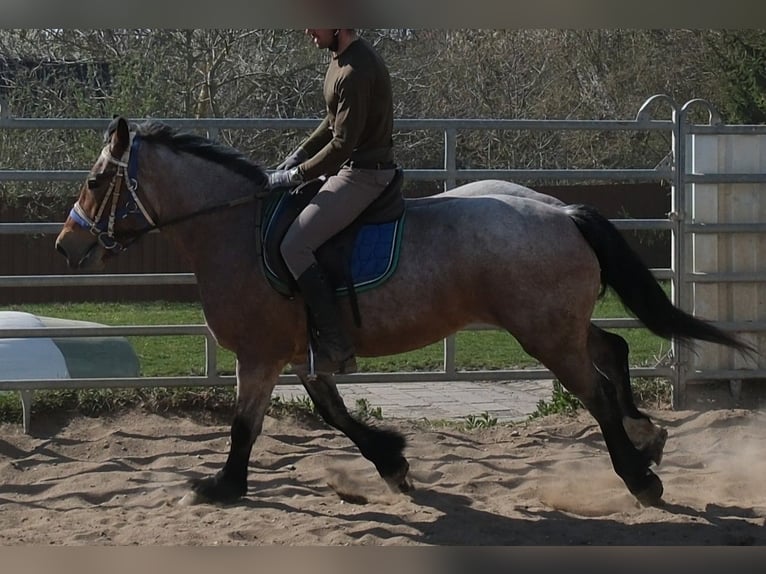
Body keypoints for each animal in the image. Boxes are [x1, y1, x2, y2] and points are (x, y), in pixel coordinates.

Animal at [54, 116, 752, 508]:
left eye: (94, 181)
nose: (66, 246)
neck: (233, 230)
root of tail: (560, 211)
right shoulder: (301, 353)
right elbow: (334, 413)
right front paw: (392, 463)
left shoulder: (259, 356)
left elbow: (244, 427)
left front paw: (222, 487)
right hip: (556, 324)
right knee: (613, 349)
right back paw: (648, 439)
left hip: (545, 335)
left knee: (597, 393)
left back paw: (640, 479)